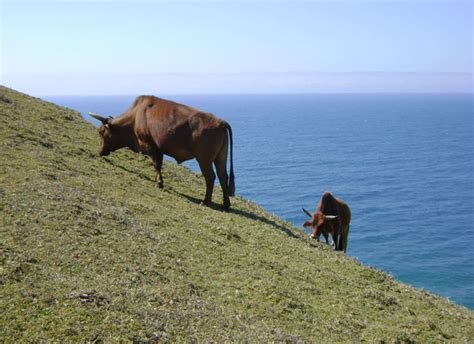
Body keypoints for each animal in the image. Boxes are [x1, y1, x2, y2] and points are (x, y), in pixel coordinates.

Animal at [89, 95, 235, 211]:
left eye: (101, 132)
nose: (100, 151)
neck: (136, 116)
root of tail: (220, 122)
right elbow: (158, 165)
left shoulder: (151, 146)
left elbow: (157, 164)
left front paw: (159, 183)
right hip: (220, 157)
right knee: (223, 176)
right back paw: (226, 205)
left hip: (204, 159)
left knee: (210, 177)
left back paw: (205, 202)